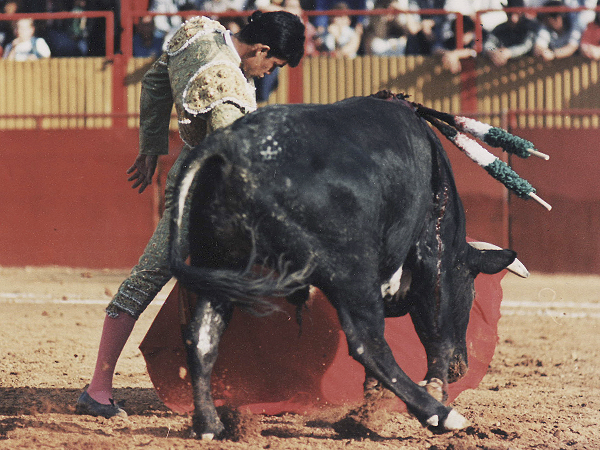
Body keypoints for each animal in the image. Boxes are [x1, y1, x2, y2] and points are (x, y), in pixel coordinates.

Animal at [167, 92, 526, 440]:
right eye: (471, 292)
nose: (459, 368)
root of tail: (229, 146)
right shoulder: (430, 252)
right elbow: (437, 328)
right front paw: (436, 388)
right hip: (351, 270)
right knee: (369, 343)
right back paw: (441, 415)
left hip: (217, 264)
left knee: (202, 337)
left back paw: (210, 426)